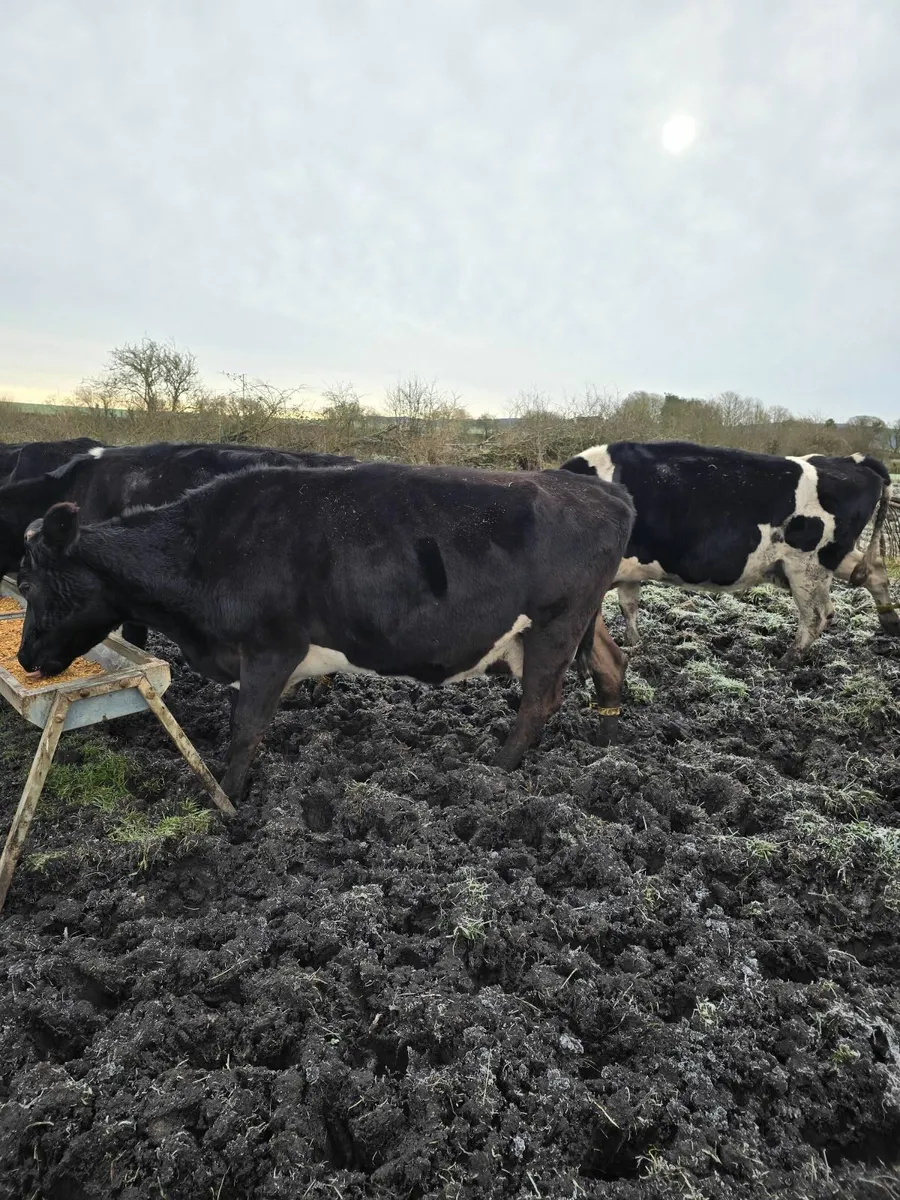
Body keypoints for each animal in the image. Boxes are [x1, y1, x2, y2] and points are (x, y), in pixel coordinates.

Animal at [16, 462, 635, 802]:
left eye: (29, 582)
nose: (23, 659)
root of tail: (604, 491)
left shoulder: (270, 648)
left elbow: (246, 731)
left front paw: (229, 801)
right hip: (580, 620)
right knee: (611, 664)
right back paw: (607, 746)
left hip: (556, 623)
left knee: (539, 701)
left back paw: (495, 771)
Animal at [560, 441, 899, 665]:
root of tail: (852, 460)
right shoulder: (629, 571)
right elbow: (628, 607)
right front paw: (634, 645)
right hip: (834, 557)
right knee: (875, 572)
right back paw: (889, 622)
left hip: (808, 565)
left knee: (817, 614)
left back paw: (788, 660)